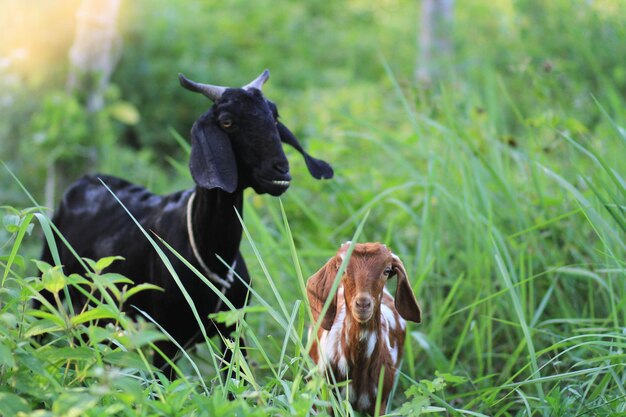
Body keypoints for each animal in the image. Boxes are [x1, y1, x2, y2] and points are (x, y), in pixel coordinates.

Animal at [40, 68, 332, 374]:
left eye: (274, 116)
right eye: (227, 122)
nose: (280, 170)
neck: (212, 254)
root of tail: (82, 182)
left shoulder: (234, 329)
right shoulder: (165, 338)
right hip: (49, 285)